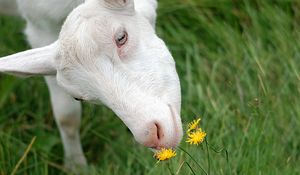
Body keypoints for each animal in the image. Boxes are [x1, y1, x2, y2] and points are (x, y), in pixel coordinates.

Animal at [0, 0, 183, 170]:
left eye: (121, 37)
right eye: (77, 97)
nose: (151, 135)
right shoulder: (39, 26)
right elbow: (66, 117)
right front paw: (76, 165)